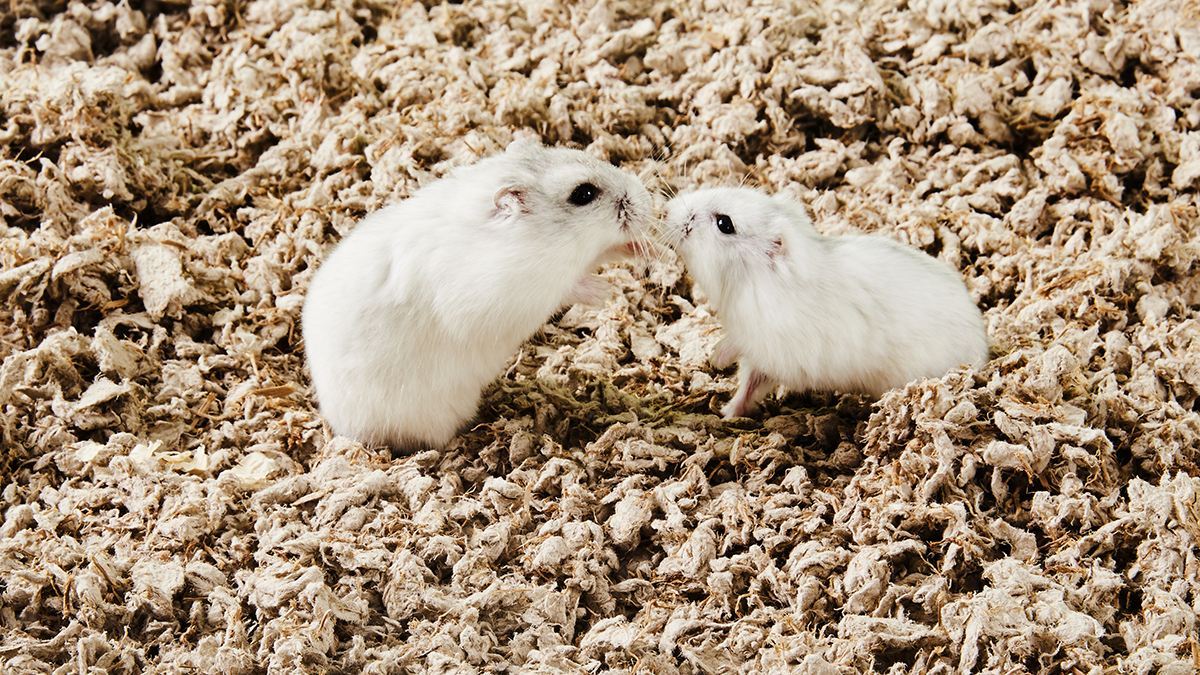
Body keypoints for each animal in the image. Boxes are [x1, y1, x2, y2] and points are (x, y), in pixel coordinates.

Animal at [302, 139, 654, 449]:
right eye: (584, 194)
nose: (651, 202)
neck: (536, 238)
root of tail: (342, 429)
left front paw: (643, 249)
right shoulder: (510, 294)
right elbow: (568, 287)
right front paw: (608, 291)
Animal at [661, 187, 989, 419]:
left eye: (724, 224)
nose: (665, 210)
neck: (752, 282)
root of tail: (984, 354)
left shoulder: (773, 350)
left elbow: (743, 363)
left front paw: (715, 362)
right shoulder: (760, 353)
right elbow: (748, 385)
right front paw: (724, 410)